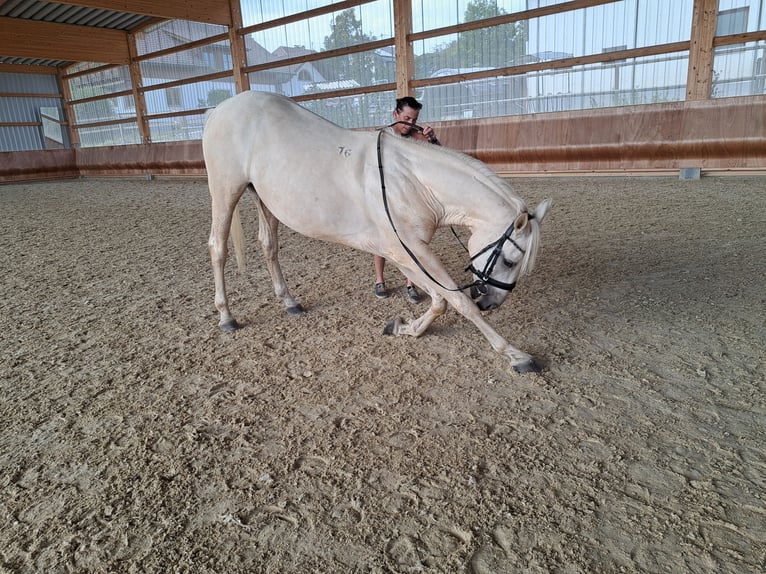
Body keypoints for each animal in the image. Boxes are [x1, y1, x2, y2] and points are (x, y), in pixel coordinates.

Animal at [204, 90, 552, 374]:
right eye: (509, 261)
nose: (491, 304)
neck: (413, 182)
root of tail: (219, 110)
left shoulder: (403, 251)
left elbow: (439, 299)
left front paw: (404, 327)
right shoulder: (409, 249)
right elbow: (456, 299)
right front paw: (516, 355)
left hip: (265, 199)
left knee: (269, 246)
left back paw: (289, 301)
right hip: (225, 190)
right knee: (218, 247)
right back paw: (226, 317)